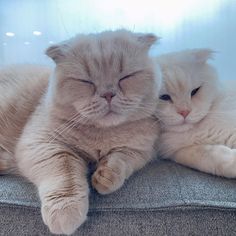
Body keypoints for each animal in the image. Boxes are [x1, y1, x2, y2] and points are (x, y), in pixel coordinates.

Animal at [0, 30, 160, 235]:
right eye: (85, 81)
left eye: (126, 77)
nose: (108, 94)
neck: (103, 134)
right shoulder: (41, 143)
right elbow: (64, 169)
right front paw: (65, 212)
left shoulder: (141, 150)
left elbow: (121, 159)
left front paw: (106, 177)